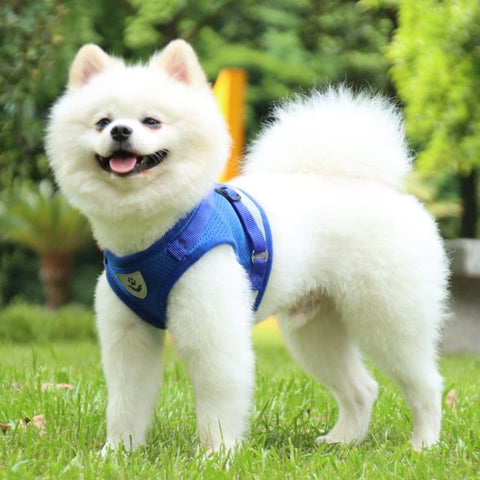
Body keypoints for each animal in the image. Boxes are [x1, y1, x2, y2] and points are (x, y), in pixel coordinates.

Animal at [47, 38, 448, 454]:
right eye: (102, 121)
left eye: (152, 121)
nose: (120, 131)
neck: (159, 233)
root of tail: (376, 186)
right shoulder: (128, 336)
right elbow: (125, 403)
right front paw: (116, 453)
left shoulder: (212, 327)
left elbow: (217, 401)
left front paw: (217, 454)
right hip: (317, 331)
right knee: (362, 388)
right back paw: (343, 440)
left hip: (390, 320)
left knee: (425, 385)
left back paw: (424, 444)